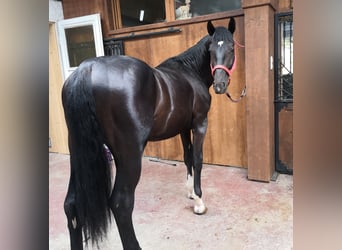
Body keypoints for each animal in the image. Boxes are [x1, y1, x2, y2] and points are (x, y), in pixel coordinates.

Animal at [62, 18, 235, 250]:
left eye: (231, 47)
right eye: (211, 50)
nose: (220, 85)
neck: (190, 72)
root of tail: (86, 69)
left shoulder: (183, 128)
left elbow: (188, 157)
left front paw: (190, 192)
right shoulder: (200, 123)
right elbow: (198, 159)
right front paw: (199, 201)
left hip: (79, 153)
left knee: (71, 204)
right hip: (129, 156)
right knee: (121, 204)